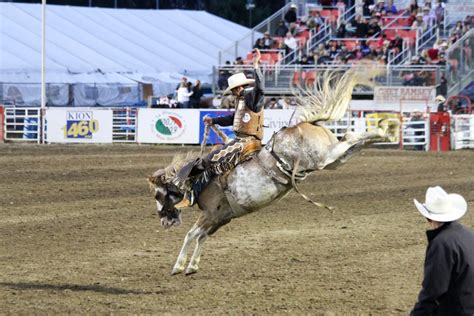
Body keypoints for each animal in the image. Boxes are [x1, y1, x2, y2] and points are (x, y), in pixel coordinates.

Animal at [147, 68, 396, 274]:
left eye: (158, 195)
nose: (164, 222)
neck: (201, 181)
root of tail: (306, 124)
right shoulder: (220, 218)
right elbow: (201, 238)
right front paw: (192, 266)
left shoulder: (210, 214)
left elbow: (191, 235)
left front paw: (178, 266)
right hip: (332, 160)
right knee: (352, 142)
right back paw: (386, 130)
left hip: (326, 156)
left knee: (351, 137)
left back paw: (386, 129)